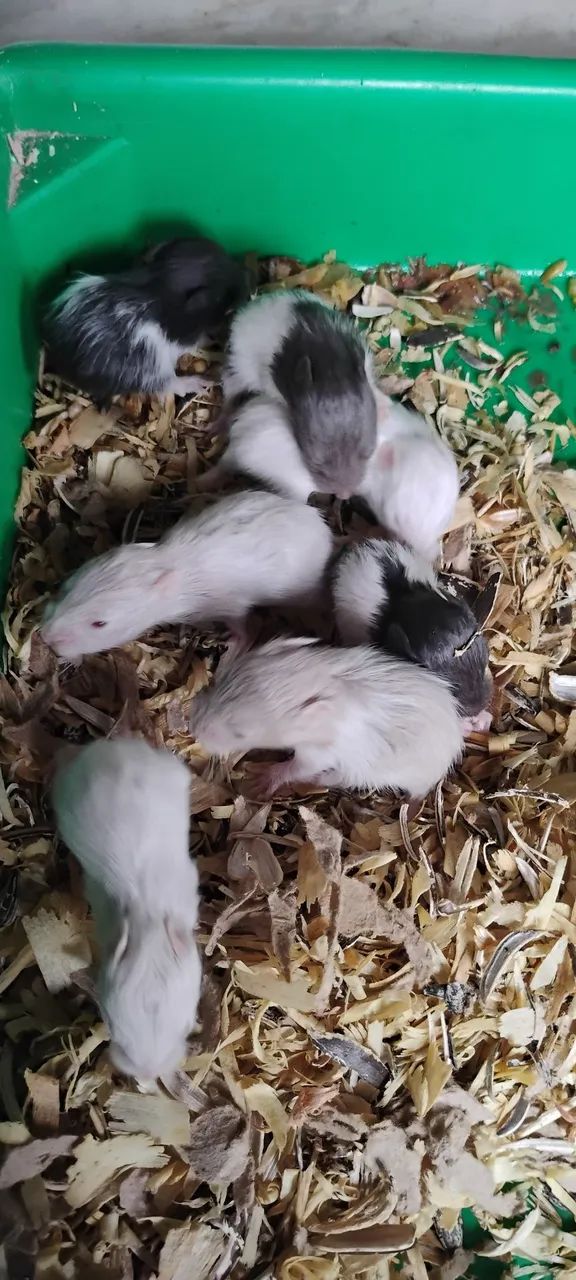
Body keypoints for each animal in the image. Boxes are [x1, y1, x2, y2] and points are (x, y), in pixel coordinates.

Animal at [41, 490, 333, 660]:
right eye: (68, 585)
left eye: (100, 623)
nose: (46, 637)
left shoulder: (230, 605)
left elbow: (241, 626)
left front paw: (234, 643)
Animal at [44, 237, 248, 400]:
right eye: (222, 296)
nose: (246, 276)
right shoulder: (183, 338)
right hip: (150, 371)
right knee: (165, 384)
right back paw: (199, 383)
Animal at [189, 637, 464, 799]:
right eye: (219, 682)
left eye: (241, 733)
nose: (193, 729)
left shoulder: (317, 753)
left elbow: (297, 767)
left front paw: (261, 780)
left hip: (370, 772)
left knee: (341, 777)